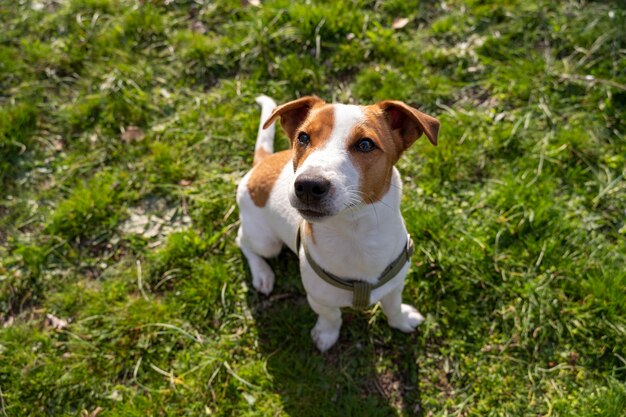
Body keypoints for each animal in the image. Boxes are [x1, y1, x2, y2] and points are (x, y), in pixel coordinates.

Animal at [235, 95, 438, 352]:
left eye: (365, 144)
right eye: (303, 137)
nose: (308, 185)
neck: (354, 232)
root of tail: (262, 163)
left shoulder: (394, 286)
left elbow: (393, 306)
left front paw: (402, 320)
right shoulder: (318, 298)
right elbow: (331, 316)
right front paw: (326, 335)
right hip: (266, 243)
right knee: (242, 241)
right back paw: (262, 273)